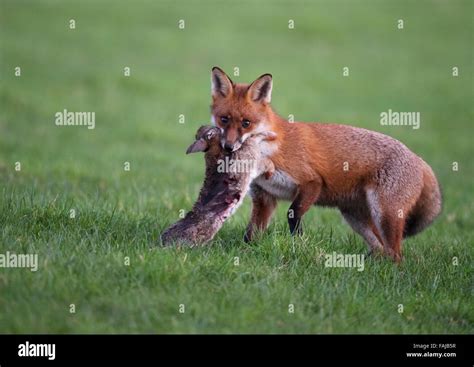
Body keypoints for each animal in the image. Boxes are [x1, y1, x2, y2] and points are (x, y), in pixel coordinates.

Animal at [209, 66, 442, 262]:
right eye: (224, 119)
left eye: (246, 123)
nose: (228, 147)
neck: (269, 152)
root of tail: (419, 159)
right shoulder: (264, 198)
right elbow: (251, 234)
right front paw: (244, 254)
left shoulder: (311, 182)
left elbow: (293, 215)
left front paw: (298, 245)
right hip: (356, 217)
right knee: (380, 249)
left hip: (385, 215)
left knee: (396, 255)